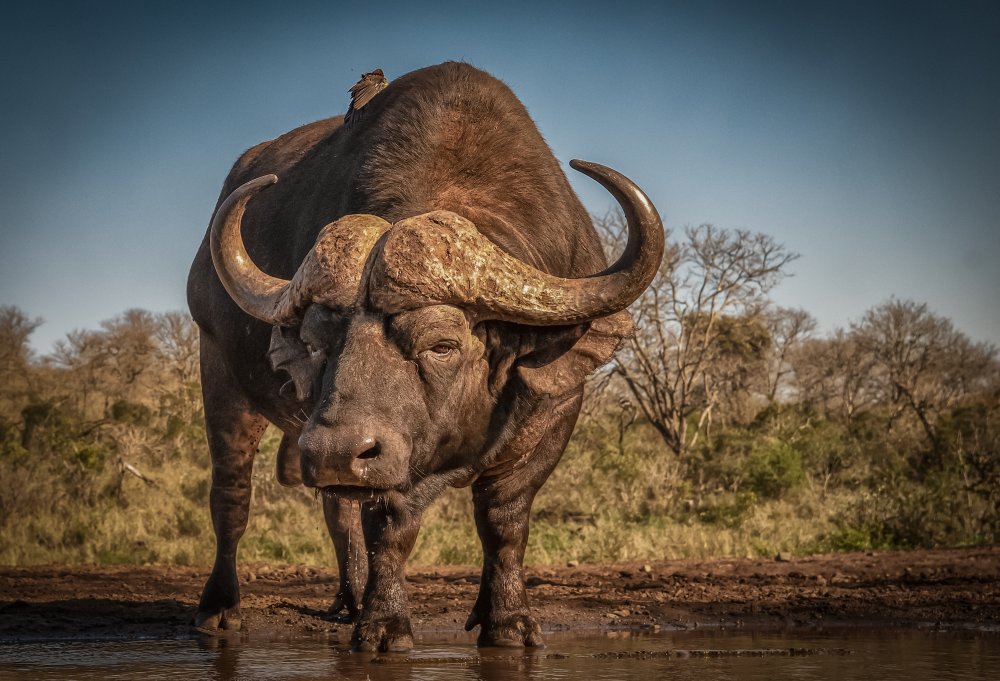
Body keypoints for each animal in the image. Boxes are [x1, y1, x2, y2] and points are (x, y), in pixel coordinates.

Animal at [188, 61, 664, 652]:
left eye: (442, 344)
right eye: (317, 342)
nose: (333, 452)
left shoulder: (554, 411)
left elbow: (505, 518)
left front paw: (507, 620)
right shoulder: (388, 453)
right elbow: (391, 524)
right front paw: (385, 623)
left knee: (338, 509)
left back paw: (350, 599)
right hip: (224, 378)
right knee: (232, 497)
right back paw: (220, 609)